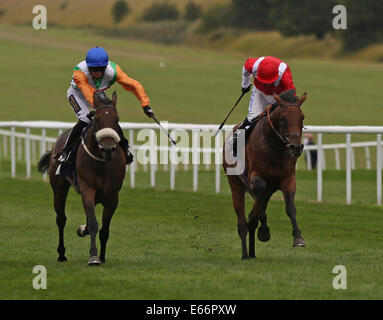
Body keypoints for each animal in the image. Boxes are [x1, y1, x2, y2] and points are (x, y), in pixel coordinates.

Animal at [37, 90, 125, 264]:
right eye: (96, 120)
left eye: (117, 119)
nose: (108, 148)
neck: (103, 164)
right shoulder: (87, 189)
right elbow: (93, 224)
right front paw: (94, 257)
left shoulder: (113, 196)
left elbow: (104, 229)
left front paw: (102, 256)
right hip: (59, 187)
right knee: (61, 219)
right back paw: (61, 253)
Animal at [224, 90, 308, 260]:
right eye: (283, 118)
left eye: (302, 117)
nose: (296, 147)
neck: (274, 146)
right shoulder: (256, 179)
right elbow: (258, 206)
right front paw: (263, 231)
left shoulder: (288, 179)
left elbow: (290, 207)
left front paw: (298, 238)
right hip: (235, 183)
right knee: (242, 221)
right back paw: (245, 254)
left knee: (253, 216)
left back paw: (252, 252)